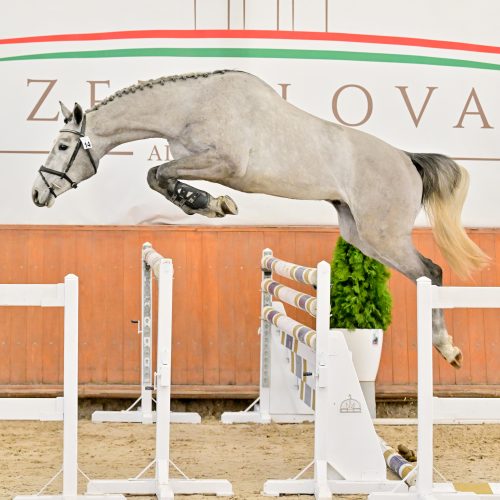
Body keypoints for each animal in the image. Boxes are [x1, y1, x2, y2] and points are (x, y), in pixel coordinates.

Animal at [31, 69, 490, 368]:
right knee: (425, 273)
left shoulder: (224, 163)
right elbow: (158, 175)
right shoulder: (198, 161)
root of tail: (408, 160)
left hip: (384, 235)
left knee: (431, 271)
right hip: (359, 233)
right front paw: (204, 203)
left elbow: (158, 172)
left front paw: (210, 203)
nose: (37, 193)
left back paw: (447, 349)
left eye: (62, 146)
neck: (190, 106)